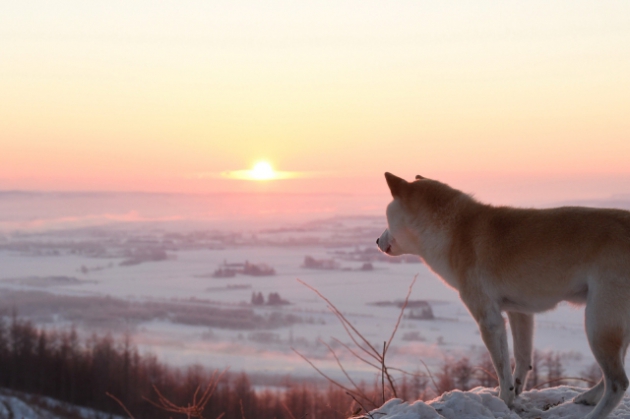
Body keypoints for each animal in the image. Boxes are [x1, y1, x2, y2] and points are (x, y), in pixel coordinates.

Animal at [378, 172, 630, 418]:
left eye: (387, 218)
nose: (377, 241)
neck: (455, 231)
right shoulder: (520, 313)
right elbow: (522, 359)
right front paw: (516, 393)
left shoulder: (490, 321)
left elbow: (501, 368)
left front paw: (505, 399)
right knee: (613, 376)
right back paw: (589, 397)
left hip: (598, 325)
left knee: (618, 383)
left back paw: (594, 412)